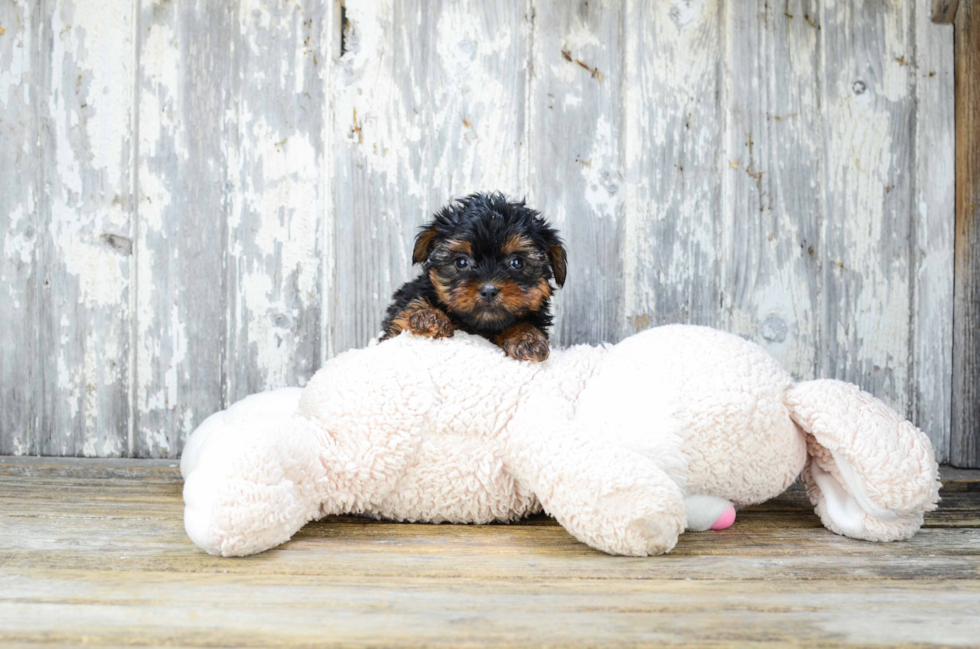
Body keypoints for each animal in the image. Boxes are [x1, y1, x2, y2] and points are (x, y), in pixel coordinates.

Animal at [382, 192, 568, 364]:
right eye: (462, 262)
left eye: (516, 262)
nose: (489, 291)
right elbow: (405, 316)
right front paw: (427, 316)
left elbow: (526, 323)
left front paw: (527, 338)